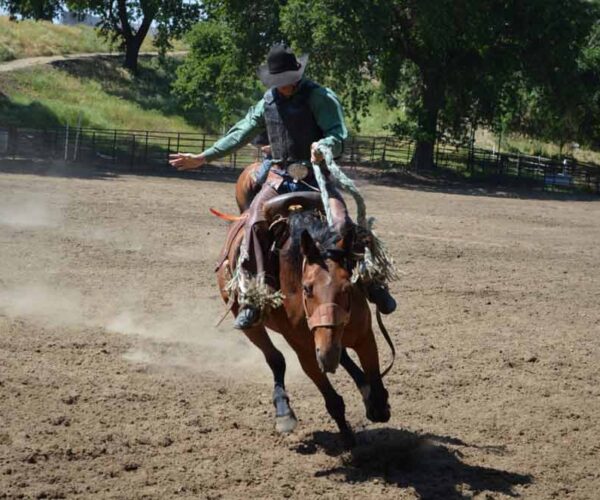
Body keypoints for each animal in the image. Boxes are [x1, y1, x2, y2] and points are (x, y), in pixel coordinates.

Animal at [213, 170, 392, 448]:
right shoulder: (304, 350)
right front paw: (347, 437)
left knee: (339, 355)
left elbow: (372, 375)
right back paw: (284, 412)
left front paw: (377, 402)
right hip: (248, 324)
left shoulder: (363, 336)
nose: (326, 354)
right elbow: (332, 400)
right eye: (306, 288)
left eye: (348, 287)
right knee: (275, 359)